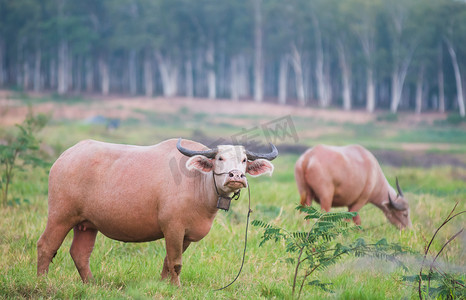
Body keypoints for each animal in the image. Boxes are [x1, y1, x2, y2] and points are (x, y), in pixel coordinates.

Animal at [38, 138, 276, 286]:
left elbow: (168, 262)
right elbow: (176, 262)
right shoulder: (173, 228)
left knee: (80, 253)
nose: (236, 176)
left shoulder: (185, 235)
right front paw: (177, 287)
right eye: (220, 158)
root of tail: (66, 156)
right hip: (60, 216)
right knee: (46, 246)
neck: (197, 183)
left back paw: (91, 284)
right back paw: (42, 282)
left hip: (87, 224)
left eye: (244, 160)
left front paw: (164, 285)